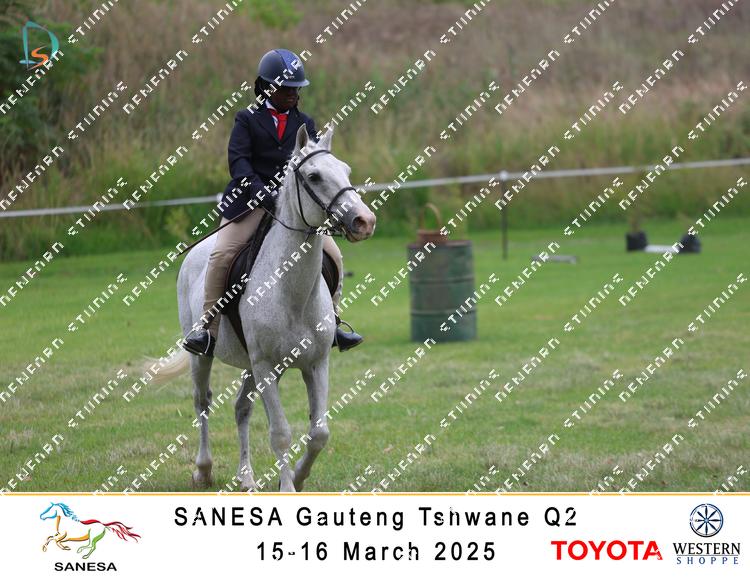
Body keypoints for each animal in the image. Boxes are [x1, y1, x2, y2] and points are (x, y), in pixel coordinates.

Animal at [151, 125, 376, 492]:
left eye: (346, 171)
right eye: (313, 176)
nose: (364, 221)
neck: (292, 293)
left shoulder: (315, 363)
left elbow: (319, 432)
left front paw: (298, 477)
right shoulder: (266, 366)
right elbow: (280, 433)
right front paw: (288, 488)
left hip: (254, 366)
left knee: (241, 407)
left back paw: (247, 478)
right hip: (207, 356)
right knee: (202, 402)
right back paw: (204, 470)